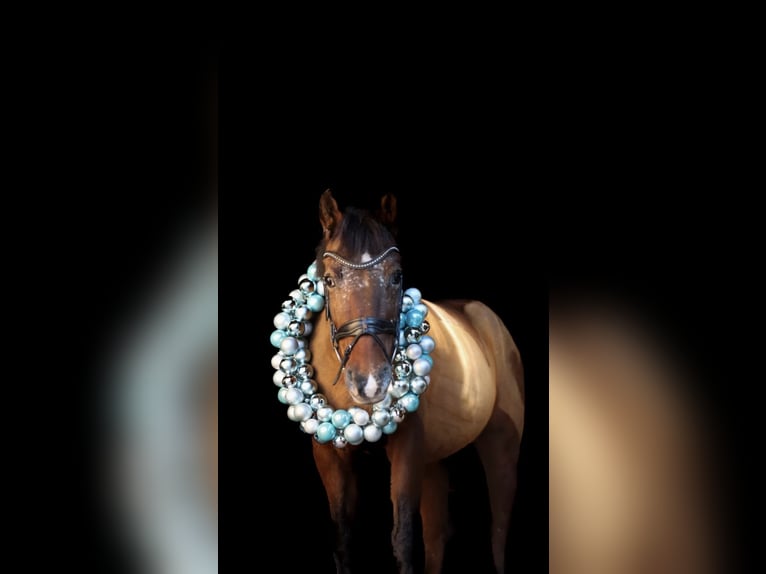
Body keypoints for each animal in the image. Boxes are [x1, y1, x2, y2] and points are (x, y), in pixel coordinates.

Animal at [273, 189, 524, 574]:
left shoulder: (408, 449)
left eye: (396, 276)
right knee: (438, 537)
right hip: (434, 462)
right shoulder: (329, 456)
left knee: (497, 531)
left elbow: (403, 538)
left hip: (502, 446)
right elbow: (343, 538)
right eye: (329, 280)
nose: (371, 383)